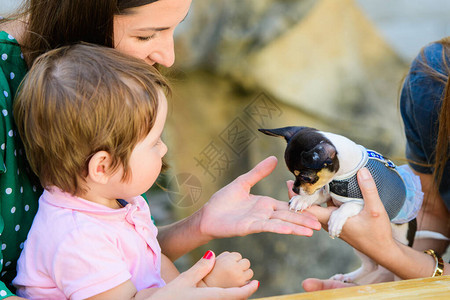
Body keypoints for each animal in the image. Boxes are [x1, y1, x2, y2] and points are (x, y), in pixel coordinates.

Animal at [258, 126, 424, 284]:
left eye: (306, 177)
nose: (294, 189)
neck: (345, 174)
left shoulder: (367, 202)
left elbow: (347, 206)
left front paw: (336, 219)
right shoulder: (327, 190)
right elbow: (317, 195)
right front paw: (302, 200)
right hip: (361, 248)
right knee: (371, 266)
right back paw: (348, 277)